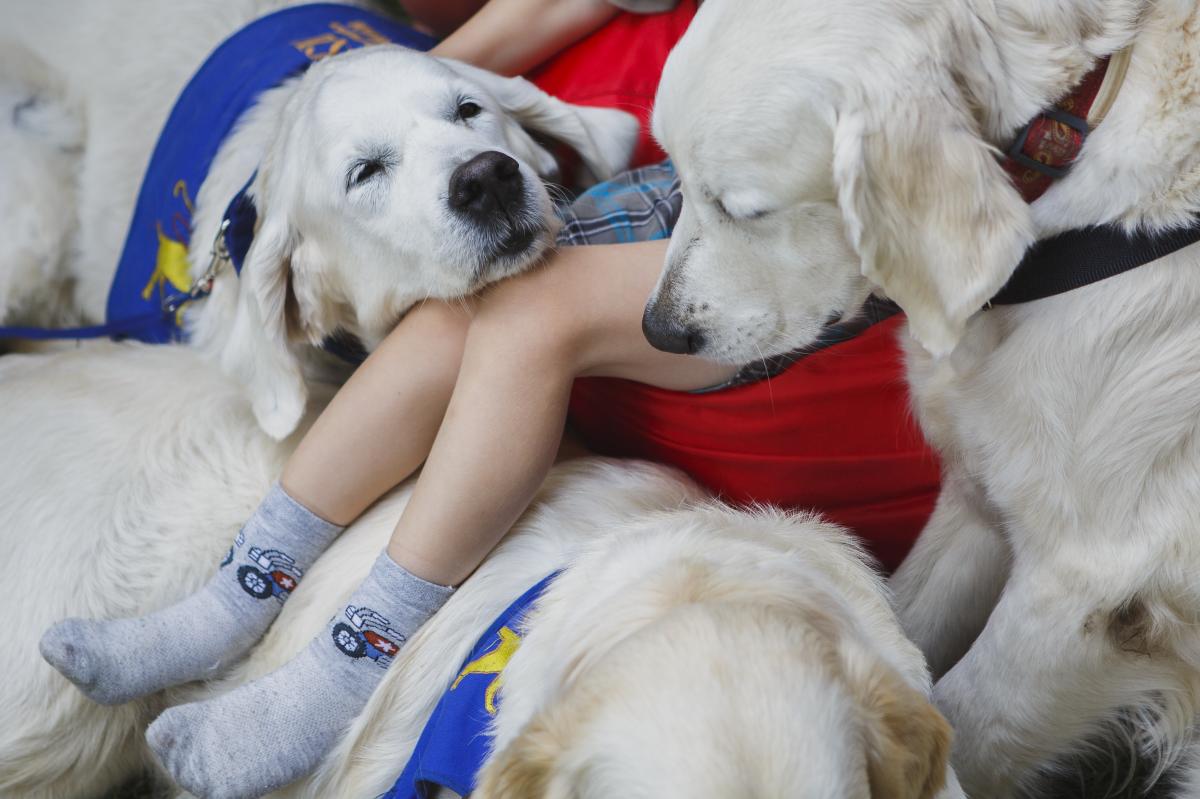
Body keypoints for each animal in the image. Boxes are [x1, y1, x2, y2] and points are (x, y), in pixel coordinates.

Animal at [643, 0, 1200, 791]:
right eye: (677, 177)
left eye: (747, 210)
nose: (658, 330)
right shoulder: (980, 491)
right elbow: (896, 622)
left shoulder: (1091, 585)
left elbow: (967, 724)